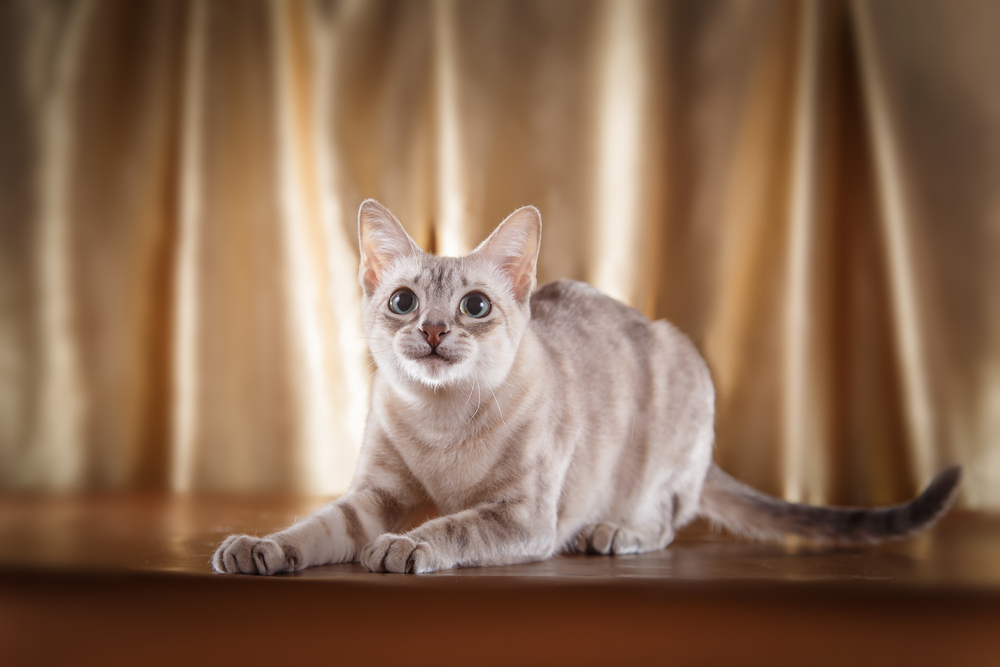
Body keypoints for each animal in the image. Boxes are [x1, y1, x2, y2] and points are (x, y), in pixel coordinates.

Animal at [211, 198, 960, 576]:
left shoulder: (519, 515)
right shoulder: (374, 498)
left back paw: (608, 533)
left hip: (676, 396)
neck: (440, 419)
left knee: (665, 521)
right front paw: (260, 547)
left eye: (474, 306)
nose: (432, 331)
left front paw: (405, 546)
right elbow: (314, 528)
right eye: (402, 302)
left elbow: (452, 525)